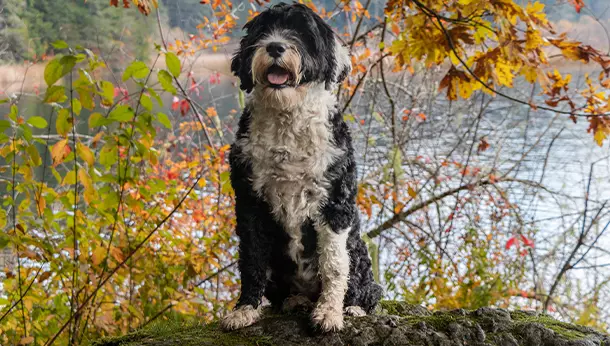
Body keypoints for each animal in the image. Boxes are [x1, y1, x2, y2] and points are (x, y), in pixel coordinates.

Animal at [220, 2, 380, 332]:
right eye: (263, 31)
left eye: (303, 33)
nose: (275, 46)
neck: (287, 118)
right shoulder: (249, 202)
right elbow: (252, 259)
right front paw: (245, 309)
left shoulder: (334, 203)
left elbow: (333, 264)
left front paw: (329, 312)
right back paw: (296, 301)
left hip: (358, 250)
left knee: (366, 287)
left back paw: (352, 307)